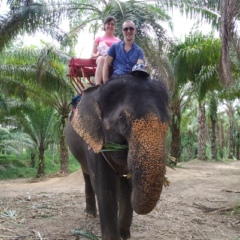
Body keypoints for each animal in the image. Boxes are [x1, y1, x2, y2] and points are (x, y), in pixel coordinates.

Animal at [65, 74, 171, 239]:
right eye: (122, 120)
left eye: (169, 121)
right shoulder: (95, 143)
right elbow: (105, 186)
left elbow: (125, 188)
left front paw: (124, 235)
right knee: (87, 176)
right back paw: (90, 214)